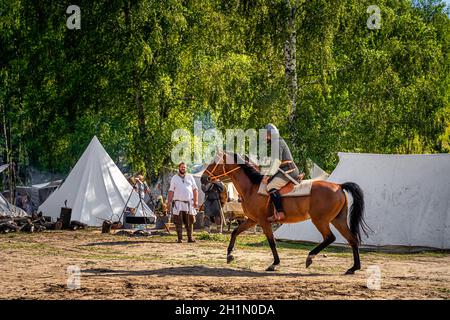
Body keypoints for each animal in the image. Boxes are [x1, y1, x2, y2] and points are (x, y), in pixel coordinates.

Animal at [203, 151, 370, 274]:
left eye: (214, 163)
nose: (204, 178)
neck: (252, 187)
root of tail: (339, 186)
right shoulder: (252, 220)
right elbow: (235, 232)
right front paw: (229, 255)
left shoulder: (263, 221)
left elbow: (272, 242)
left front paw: (274, 264)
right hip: (338, 220)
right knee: (352, 239)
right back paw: (353, 268)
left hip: (320, 220)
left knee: (330, 237)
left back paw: (310, 257)